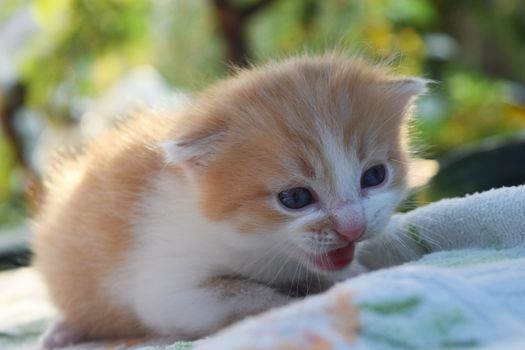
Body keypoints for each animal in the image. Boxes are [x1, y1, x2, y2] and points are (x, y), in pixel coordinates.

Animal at [32, 54, 424, 348]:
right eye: (295, 198)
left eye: (374, 176)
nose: (353, 227)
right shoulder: (166, 285)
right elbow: (244, 294)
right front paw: (299, 300)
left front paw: (355, 272)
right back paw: (63, 331)